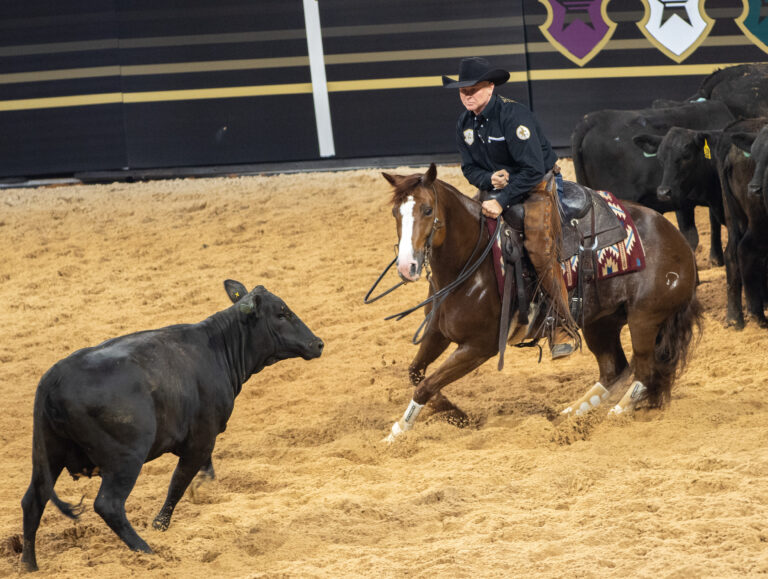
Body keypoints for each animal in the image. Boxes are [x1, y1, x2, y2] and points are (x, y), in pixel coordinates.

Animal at [20, 280, 324, 572]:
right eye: (282, 313)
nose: (317, 343)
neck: (216, 349)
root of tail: (55, 378)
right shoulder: (201, 439)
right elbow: (179, 482)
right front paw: (160, 525)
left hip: (49, 455)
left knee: (33, 500)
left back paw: (29, 564)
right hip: (125, 458)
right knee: (108, 505)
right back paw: (146, 552)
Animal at [379, 163, 702, 442]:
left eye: (427, 209)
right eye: (395, 212)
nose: (406, 267)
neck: (473, 261)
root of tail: (677, 240)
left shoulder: (479, 347)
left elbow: (426, 385)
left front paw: (398, 433)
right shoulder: (438, 332)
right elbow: (416, 374)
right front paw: (453, 413)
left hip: (644, 319)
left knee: (645, 371)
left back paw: (615, 415)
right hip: (601, 322)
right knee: (614, 368)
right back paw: (571, 414)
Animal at [633, 119, 768, 328]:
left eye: (686, 155)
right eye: (661, 159)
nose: (663, 192)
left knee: (732, 254)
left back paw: (735, 316)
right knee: (745, 250)